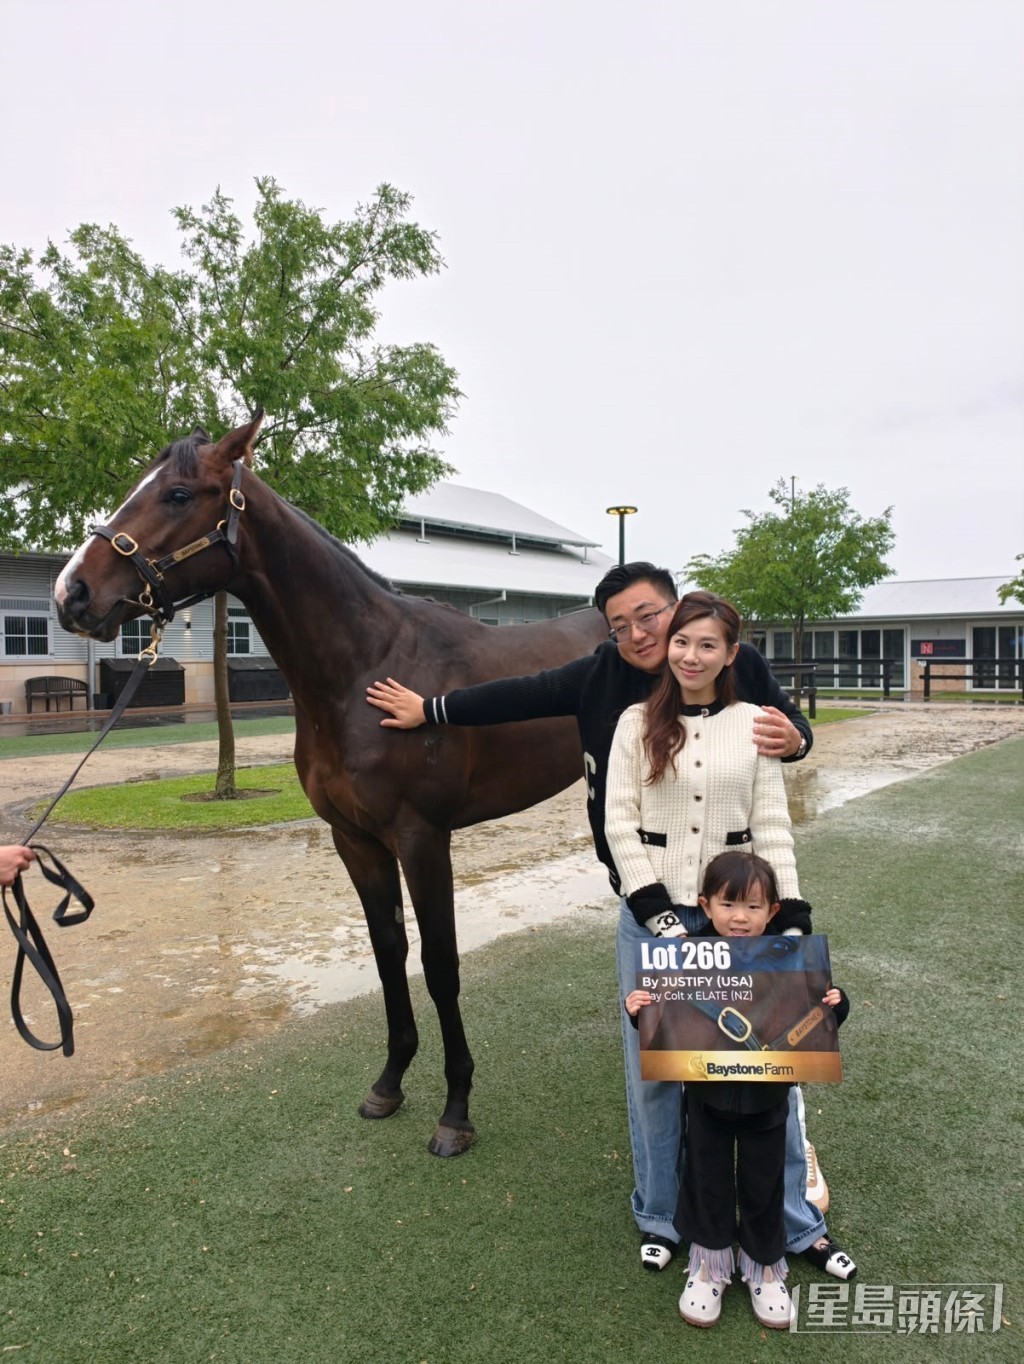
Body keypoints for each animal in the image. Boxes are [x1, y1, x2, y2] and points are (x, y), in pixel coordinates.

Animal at [54, 412, 609, 1156]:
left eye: (177, 493)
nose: (72, 593)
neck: (367, 671)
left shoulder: (423, 838)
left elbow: (440, 964)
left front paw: (456, 1110)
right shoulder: (355, 840)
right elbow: (388, 953)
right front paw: (389, 1084)